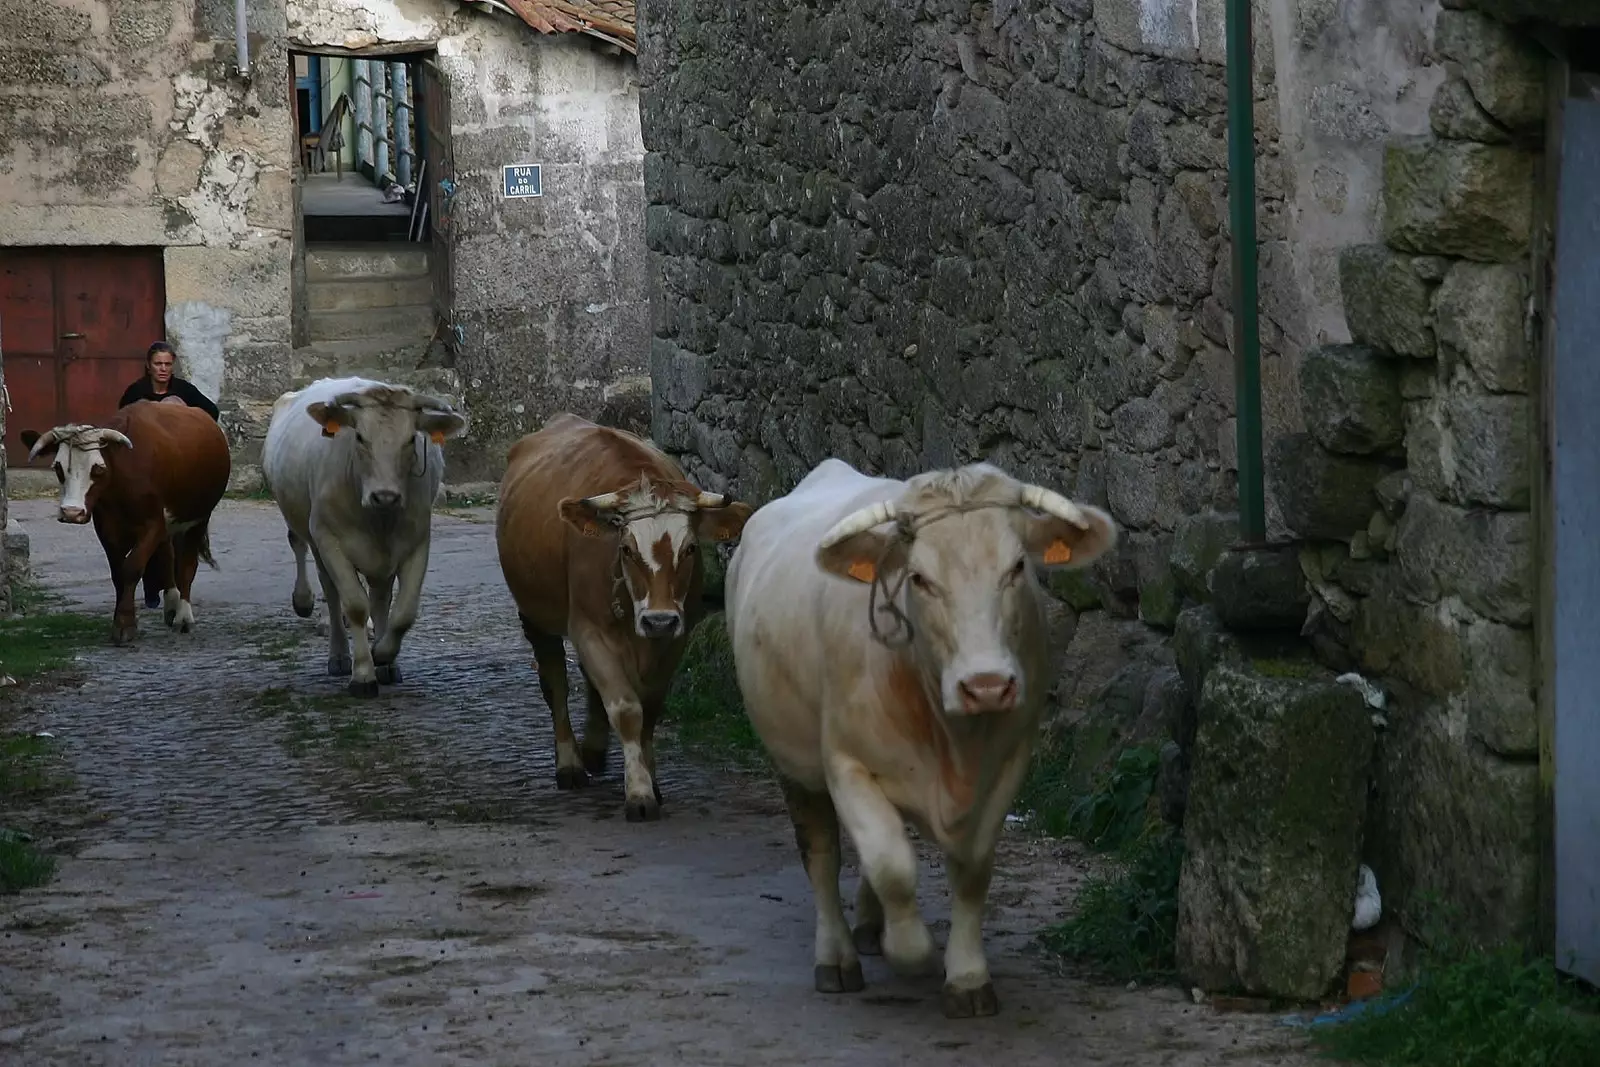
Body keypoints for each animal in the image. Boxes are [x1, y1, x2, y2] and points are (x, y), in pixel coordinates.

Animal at [21, 403, 232, 643]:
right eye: (58, 467)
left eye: (98, 468)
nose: (72, 512)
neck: (121, 476)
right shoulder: (107, 528)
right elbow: (117, 574)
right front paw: (121, 620)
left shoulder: (153, 524)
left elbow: (132, 567)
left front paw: (125, 624)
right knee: (167, 555)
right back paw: (171, 604)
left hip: (199, 518)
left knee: (187, 563)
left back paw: (183, 617)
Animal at [265, 379, 467, 697]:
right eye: (359, 437)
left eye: (411, 439)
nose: (385, 496)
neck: (378, 519)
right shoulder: (330, 540)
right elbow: (356, 606)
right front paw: (363, 674)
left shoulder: (417, 542)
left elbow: (404, 611)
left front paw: (383, 655)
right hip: (312, 535)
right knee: (327, 586)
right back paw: (335, 651)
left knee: (381, 597)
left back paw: (385, 664)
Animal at [496, 412, 752, 825]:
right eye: (627, 549)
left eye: (690, 548)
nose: (658, 620)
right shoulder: (589, 630)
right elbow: (627, 709)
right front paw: (640, 792)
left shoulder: (676, 637)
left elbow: (650, 710)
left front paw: (652, 780)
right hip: (534, 615)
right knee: (556, 683)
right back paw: (570, 764)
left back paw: (594, 751)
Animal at [723, 457, 1113, 1017]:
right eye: (919, 578)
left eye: (1017, 567)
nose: (987, 684)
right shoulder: (845, 762)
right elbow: (892, 866)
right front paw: (910, 950)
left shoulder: (1010, 760)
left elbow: (971, 869)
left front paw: (967, 977)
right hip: (793, 760)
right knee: (822, 856)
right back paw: (837, 955)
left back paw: (869, 925)